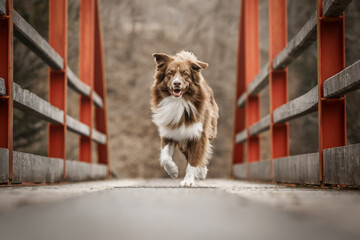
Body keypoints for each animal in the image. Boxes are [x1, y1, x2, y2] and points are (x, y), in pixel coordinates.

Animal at [150, 50, 218, 186]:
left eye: (185, 74)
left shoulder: (198, 133)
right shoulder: (169, 131)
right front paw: (173, 171)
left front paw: (188, 180)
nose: (177, 83)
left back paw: (201, 171)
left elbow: (194, 158)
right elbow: (165, 156)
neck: (178, 102)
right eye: (169, 73)